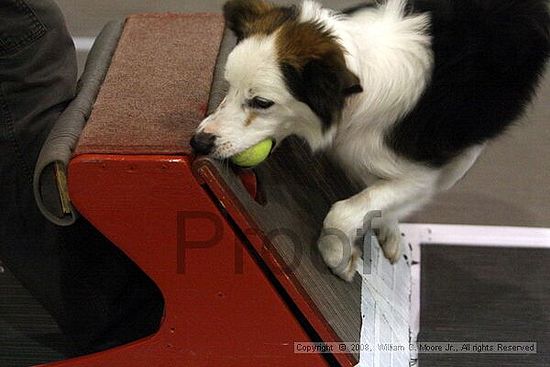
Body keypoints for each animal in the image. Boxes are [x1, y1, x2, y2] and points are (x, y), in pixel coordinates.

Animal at [191, 0, 550, 282]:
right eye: (228, 86)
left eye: (262, 103)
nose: (199, 143)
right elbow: (368, 199)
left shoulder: (420, 175)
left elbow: (344, 212)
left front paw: (336, 257)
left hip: (471, 139)